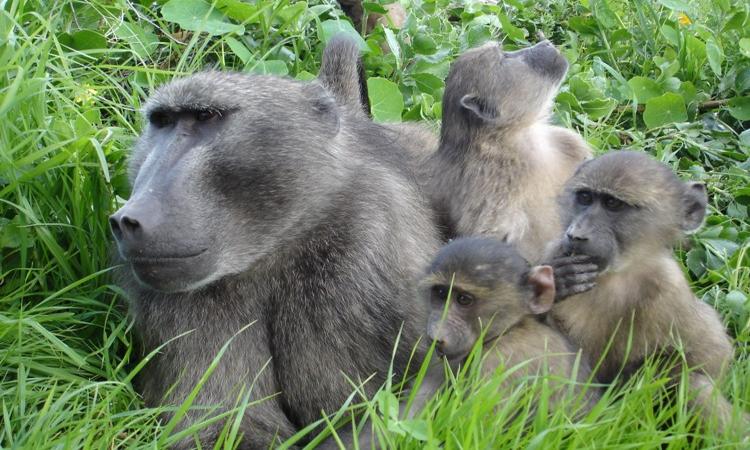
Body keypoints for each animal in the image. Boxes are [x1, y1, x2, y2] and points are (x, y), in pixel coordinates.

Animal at [109, 69, 441, 448]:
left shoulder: (360, 261)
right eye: (162, 121)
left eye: (207, 117)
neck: (277, 249)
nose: (129, 220)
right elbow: (225, 426)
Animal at [545, 150, 748, 433]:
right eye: (585, 198)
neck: (617, 274)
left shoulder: (670, 287)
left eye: (612, 204)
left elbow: (710, 359)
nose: (576, 234)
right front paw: (561, 282)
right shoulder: (554, 251)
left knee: (696, 386)